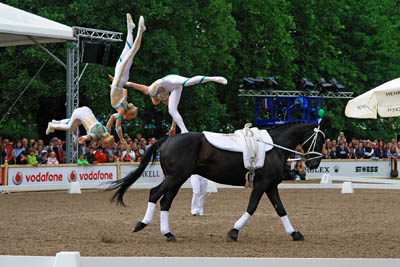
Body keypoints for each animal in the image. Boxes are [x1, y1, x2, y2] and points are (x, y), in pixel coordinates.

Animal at [108, 121, 324, 243]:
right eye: (321, 141)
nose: (314, 163)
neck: (275, 147)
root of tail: (167, 140)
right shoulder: (262, 184)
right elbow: (252, 207)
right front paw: (233, 232)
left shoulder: (270, 186)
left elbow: (281, 209)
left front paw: (295, 233)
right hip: (175, 177)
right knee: (154, 193)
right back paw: (142, 224)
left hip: (176, 179)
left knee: (165, 201)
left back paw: (168, 234)